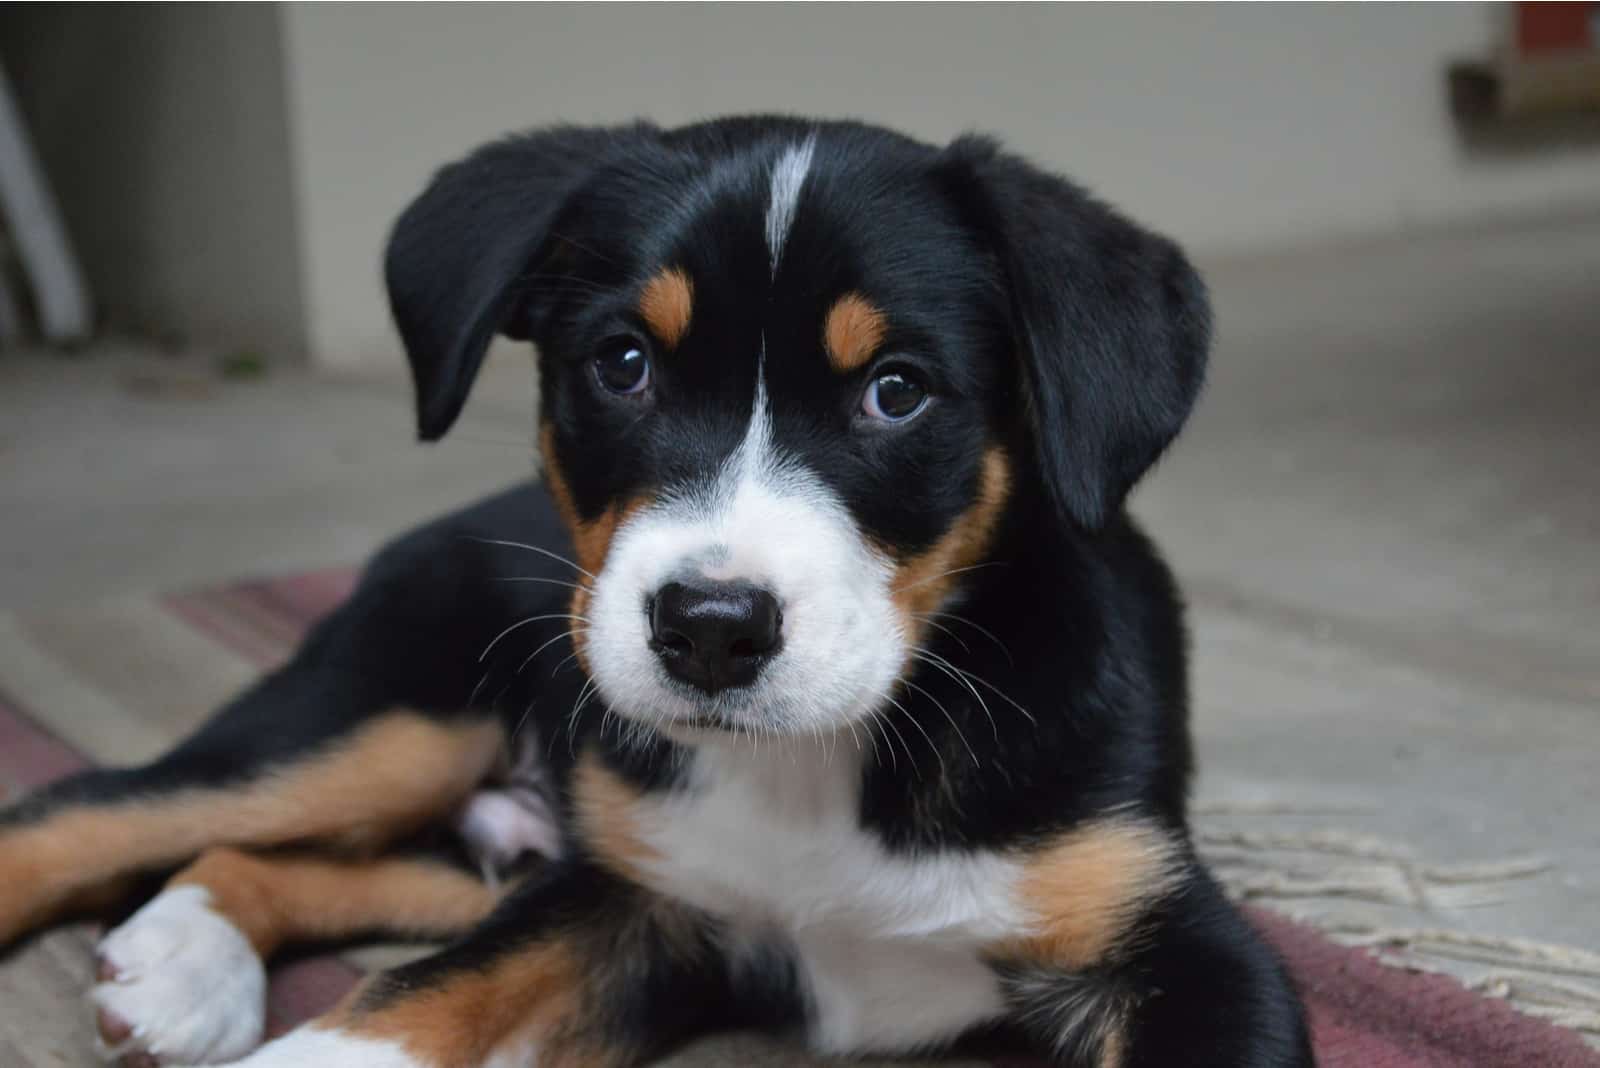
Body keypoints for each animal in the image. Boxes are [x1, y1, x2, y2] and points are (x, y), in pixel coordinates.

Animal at [0, 119, 1312, 1068]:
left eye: (896, 390)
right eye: (622, 363)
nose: (710, 632)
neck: (814, 771)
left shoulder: (1174, 942)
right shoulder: (632, 894)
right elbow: (414, 996)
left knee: (281, 856)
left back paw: (180, 961)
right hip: (390, 718)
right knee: (100, 806)